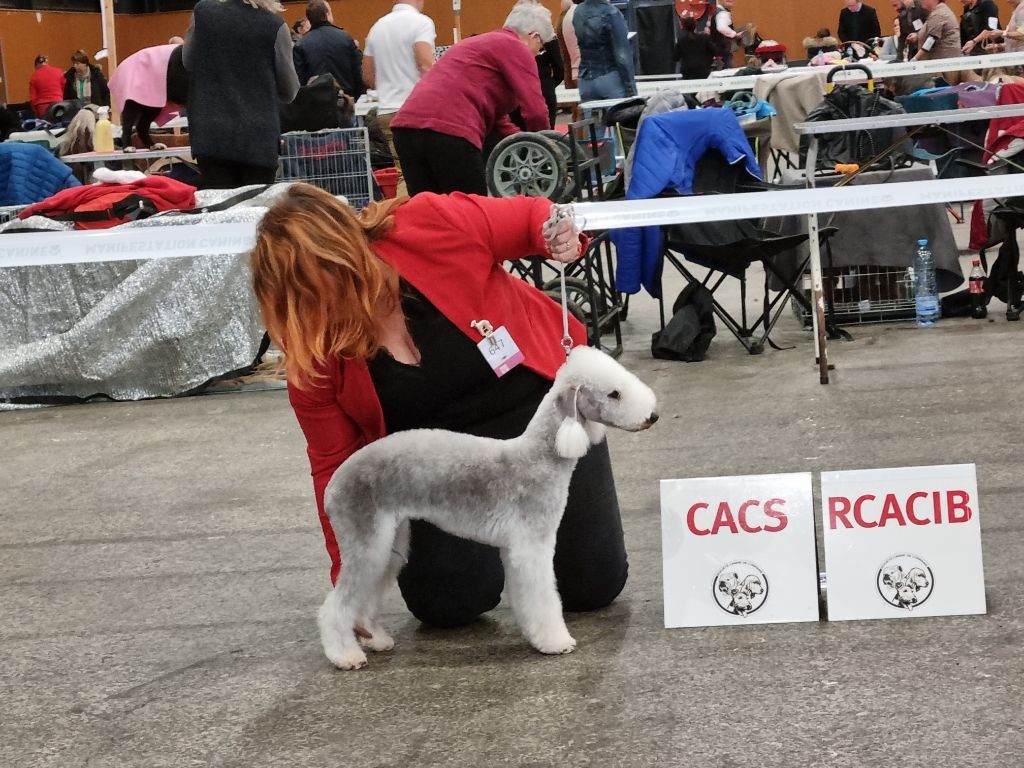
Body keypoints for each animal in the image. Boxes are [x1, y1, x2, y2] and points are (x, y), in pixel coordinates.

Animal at [315, 346, 659, 671]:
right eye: (614, 393)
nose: (653, 416)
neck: (540, 457)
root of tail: (334, 484)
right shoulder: (532, 544)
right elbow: (543, 596)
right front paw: (555, 641)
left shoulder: (515, 548)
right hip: (367, 537)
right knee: (335, 606)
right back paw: (345, 655)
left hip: (391, 541)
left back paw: (376, 638)